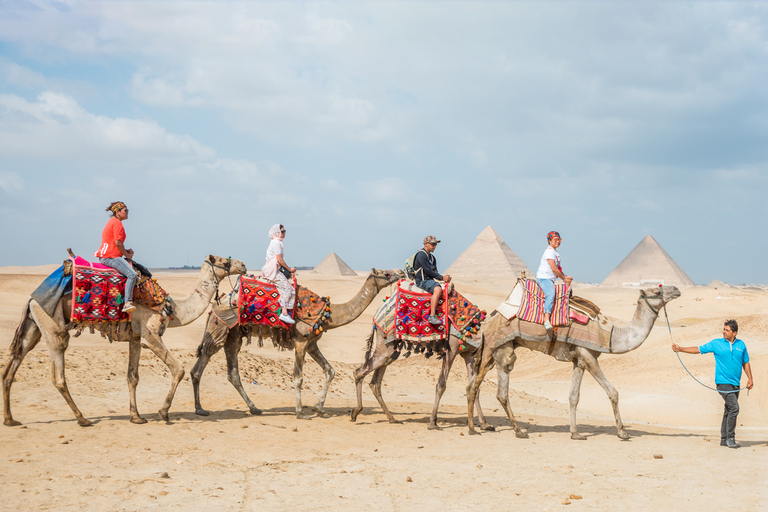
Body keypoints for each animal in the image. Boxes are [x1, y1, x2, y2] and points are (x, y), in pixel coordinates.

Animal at [2, 254, 246, 426]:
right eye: (225, 260)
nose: (243, 265)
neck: (173, 307)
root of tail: (31, 298)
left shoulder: (135, 337)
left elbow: (132, 377)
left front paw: (136, 416)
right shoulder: (150, 335)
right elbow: (178, 369)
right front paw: (163, 412)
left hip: (34, 327)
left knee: (12, 367)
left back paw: (10, 419)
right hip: (53, 327)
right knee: (58, 376)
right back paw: (82, 418)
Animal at [190, 268, 404, 420]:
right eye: (385, 273)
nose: (401, 272)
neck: (329, 314)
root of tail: (214, 304)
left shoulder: (312, 343)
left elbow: (330, 370)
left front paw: (319, 408)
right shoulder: (301, 341)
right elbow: (298, 377)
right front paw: (301, 412)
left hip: (233, 335)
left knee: (232, 373)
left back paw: (254, 408)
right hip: (219, 328)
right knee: (201, 363)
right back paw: (200, 409)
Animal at [350, 320, 492, 432]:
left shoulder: (469, 354)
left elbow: (475, 388)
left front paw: (484, 423)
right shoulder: (451, 350)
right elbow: (441, 385)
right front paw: (433, 422)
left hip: (388, 350)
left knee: (375, 382)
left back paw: (392, 418)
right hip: (385, 345)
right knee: (359, 371)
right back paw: (356, 412)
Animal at [464, 286, 680, 438]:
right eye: (657, 291)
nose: (677, 289)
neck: (610, 335)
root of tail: (487, 320)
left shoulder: (579, 360)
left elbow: (573, 396)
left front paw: (575, 433)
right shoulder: (589, 355)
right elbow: (613, 392)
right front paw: (622, 432)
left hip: (495, 349)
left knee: (478, 386)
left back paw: (489, 428)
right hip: (501, 347)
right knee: (492, 388)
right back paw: (499, 430)